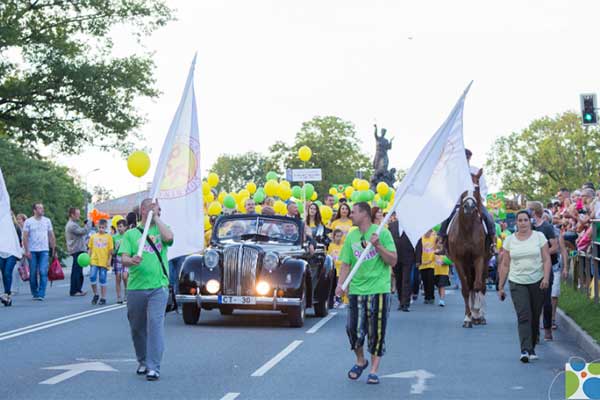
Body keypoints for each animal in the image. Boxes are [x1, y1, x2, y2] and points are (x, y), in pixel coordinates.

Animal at [448, 169, 490, 328]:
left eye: (476, 188)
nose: (469, 207)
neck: (467, 229)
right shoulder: (458, 261)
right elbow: (466, 288)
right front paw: (467, 317)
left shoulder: (479, 258)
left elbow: (478, 285)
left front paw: (477, 311)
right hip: (467, 264)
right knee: (470, 285)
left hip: (485, 262)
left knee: (481, 286)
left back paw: (480, 316)